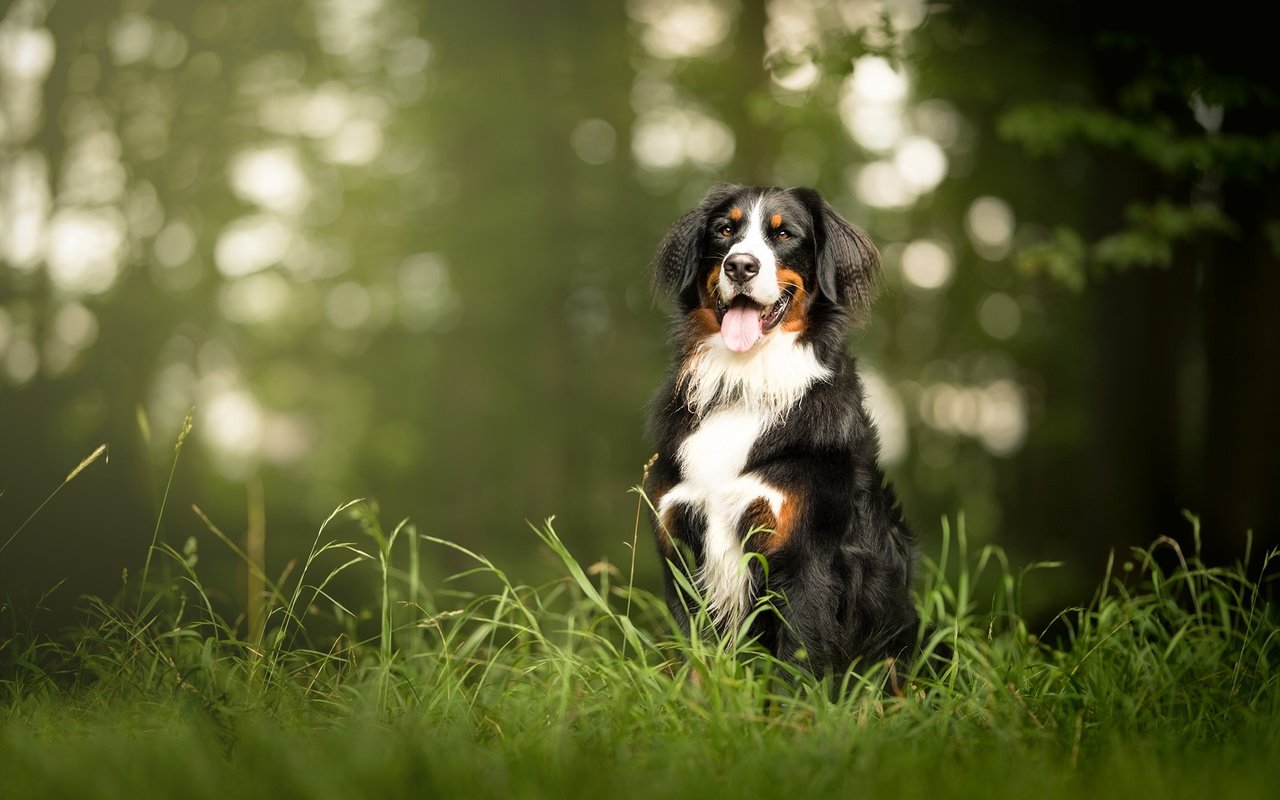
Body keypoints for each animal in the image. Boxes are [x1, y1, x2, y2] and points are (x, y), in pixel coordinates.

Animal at [650, 184, 921, 675]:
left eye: (784, 235)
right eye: (725, 231)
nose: (740, 265)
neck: (745, 381)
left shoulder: (804, 557)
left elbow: (794, 667)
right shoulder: (680, 543)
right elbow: (694, 665)